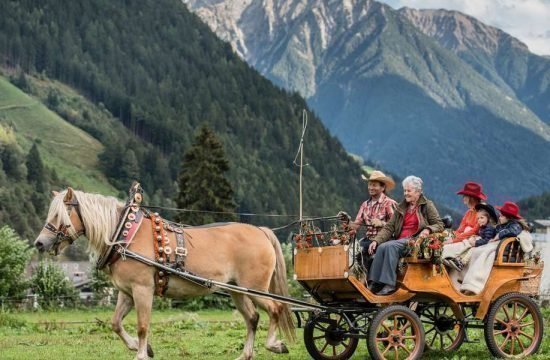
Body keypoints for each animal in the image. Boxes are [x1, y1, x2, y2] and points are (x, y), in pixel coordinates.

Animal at [33, 188, 294, 360]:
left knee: (276, 309)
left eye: (60, 215)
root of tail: (260, 231)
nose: (39, 243)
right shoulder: (126, 293)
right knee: (253, 318)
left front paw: (140, 354)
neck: (125, 236)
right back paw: (246, 354)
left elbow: (142, 325)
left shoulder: (143, 290)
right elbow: (116, 323)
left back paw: (274, 344)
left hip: (256, 288)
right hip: (237, 290)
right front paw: (140, 348)